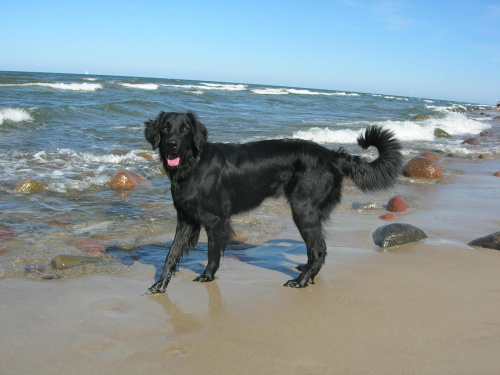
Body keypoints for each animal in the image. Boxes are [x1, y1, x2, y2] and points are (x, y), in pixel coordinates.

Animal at [145, 111, 402, 294]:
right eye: (165, 128)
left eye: (185, 129)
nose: (171, 144)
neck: (193, 166)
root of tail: (331, 155)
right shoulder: (185, 219)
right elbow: (171, 254)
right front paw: (160, 285)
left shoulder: (215, 220)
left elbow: (212, 253)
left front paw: (207, 276)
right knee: (316, 251)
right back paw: (307, 273)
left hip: (303, 210)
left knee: (319, 249)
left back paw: (301, 281)